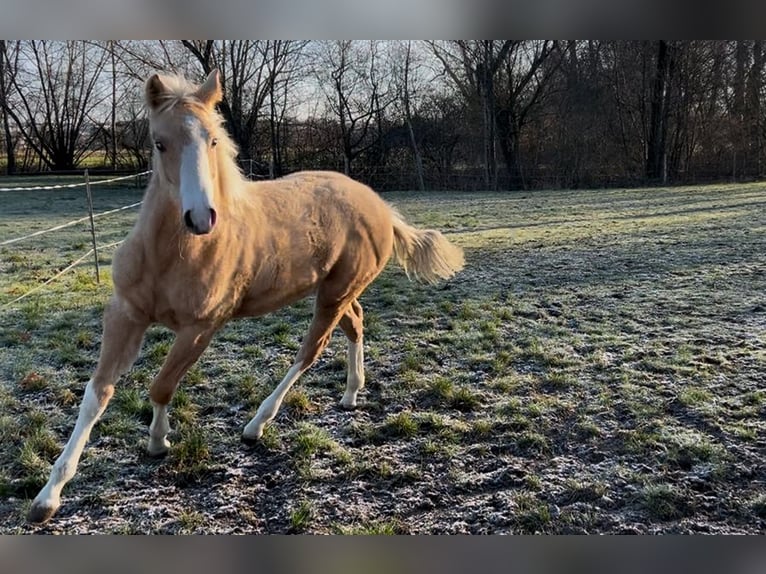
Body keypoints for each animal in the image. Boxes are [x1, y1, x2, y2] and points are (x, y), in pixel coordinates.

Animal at [27, 69, 464, 524]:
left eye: (213, 140)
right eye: (159, 142)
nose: (201, 218)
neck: (171, 255)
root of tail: (380, 206)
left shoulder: (201, 328)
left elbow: (161, 387)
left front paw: (158, 442)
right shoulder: (125, 315)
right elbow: (97, 394)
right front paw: (47, 498)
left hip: (333, 294)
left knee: (310, 350)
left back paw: (257, 426)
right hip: (337, 290)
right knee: (356, 323)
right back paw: (350, 395)